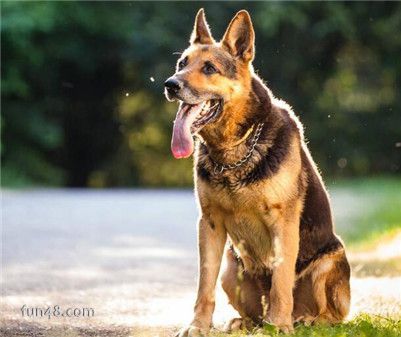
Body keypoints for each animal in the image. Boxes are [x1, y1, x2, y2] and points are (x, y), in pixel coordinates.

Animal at [164, 9, 348, 334]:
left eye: (209, 68)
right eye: (182, 64)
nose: (170, 85)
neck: (233, 151)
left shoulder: (283, 223)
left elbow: (281, 282)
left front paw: (280, 327)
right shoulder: (210, 225)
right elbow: (204, 286)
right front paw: (198, 326)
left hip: (329, 261)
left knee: (329, 314)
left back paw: (303, 320)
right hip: (230, 266)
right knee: (252, 311)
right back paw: (244, 322)